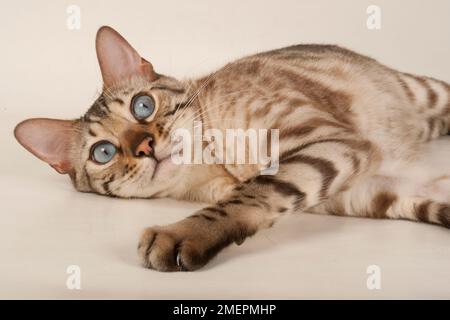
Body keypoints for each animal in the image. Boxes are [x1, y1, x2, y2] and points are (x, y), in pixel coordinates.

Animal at [14, 26, 450, 272]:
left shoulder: (329, 142)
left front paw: (180, 235)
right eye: (103, 152)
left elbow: (251, 194)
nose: (145, 146)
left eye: (142, 106)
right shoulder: (387, 192)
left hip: (428, 92)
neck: (217, 167)